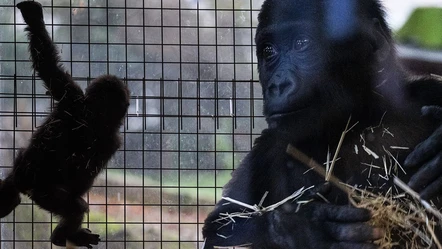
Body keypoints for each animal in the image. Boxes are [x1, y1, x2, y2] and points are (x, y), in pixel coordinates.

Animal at [0, 0, 129, 248]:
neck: (94, 114)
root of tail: (23, 181)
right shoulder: (77, 101)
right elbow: (49, 66)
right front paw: (34, 18)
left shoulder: (74, 99)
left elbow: (48, 67)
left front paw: (33, 18)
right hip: (43, 192)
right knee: (75, 206)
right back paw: (63, 236)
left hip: (36, 189)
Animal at [202, 0, 442, 249]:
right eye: (269, 51)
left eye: (301, 44)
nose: (277, 85)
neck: (356, 121)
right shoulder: (266, 149)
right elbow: (223, 229)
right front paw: (306, 229)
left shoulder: (428, 94)